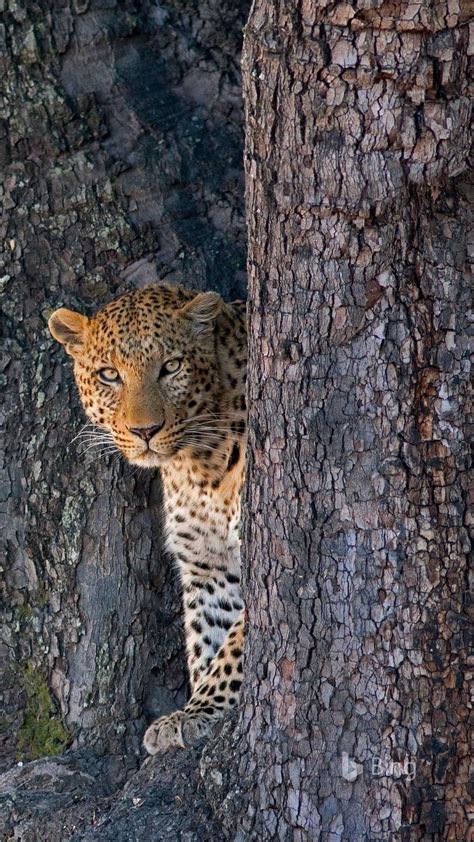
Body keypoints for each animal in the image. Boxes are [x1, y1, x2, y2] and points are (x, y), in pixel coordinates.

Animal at [48, 284, 248, 756]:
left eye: (171, 366)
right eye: (109, 375)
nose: (145, 431)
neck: (200, 465)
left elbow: (236, 644)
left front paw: (201, 708)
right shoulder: (208, 567)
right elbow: (208, 638)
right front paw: (196, 707)